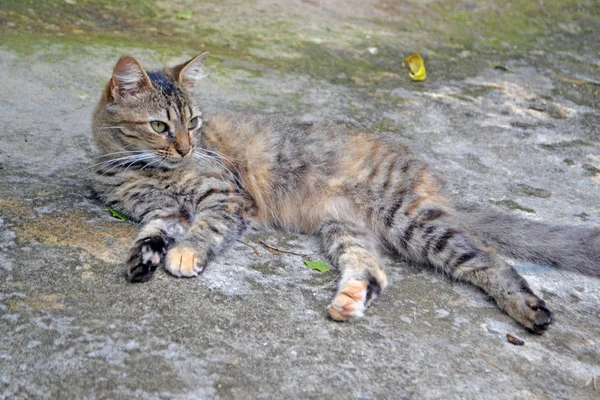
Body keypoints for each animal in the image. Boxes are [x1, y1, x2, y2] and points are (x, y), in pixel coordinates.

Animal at [90, 54, 600, 334]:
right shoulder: (162, 210)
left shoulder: (227, 198)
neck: (140, 170)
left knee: (489, 260)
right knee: (374, 270)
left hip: (413, 223)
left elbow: (205, 228)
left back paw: (530, 309)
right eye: (161, 126)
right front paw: (145, 256)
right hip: (345, 229)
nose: (187, 147)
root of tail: (431, 179)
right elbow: (155, 231)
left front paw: (186, 254)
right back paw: (351, 299)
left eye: (193, 123)